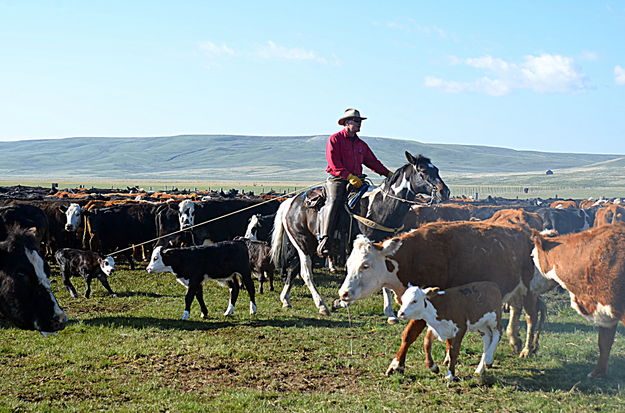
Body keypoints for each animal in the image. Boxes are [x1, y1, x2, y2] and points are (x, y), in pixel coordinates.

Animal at [268, 151, 448, 316]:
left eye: (437, 169)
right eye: (422, 170)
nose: (444, 192)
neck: (381, 206)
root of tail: (290, 202)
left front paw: (389, 310)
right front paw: (341, 302)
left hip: (306, 245)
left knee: (293, 269)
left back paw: (285, 299)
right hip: (303, 244)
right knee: (306, 273)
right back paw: (321, 305)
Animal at [336, 220, 540, 374]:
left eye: (365, 265)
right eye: (349, 264)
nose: (343, 293)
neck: (414, 257)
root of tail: (527, 231)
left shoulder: (424, 304)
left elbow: (409, 334)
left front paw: (396, 365)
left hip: (529, 288)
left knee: (532, 316)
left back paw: (526, 349)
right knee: (514, 310)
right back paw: (510, 344)